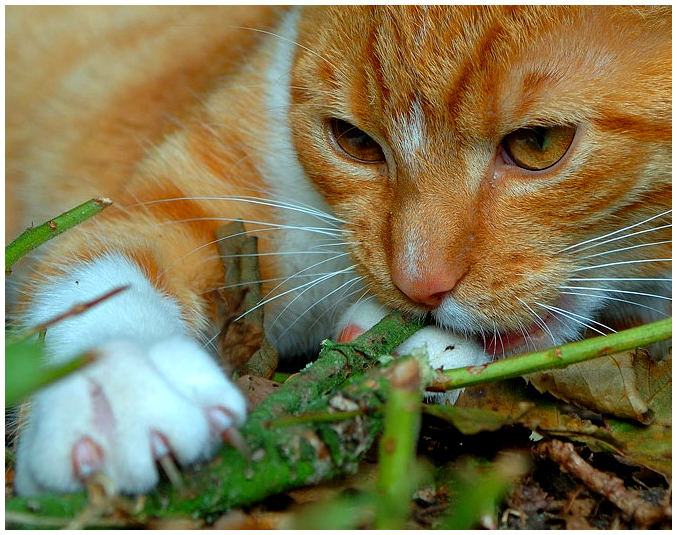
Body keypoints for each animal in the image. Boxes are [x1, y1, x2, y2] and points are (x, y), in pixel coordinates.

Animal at [5, 6, 672, 496]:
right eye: (353, 140)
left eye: (539, 144)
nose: (419, 285)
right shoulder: (193, 194)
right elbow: (103, 260)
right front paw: (114, 386)